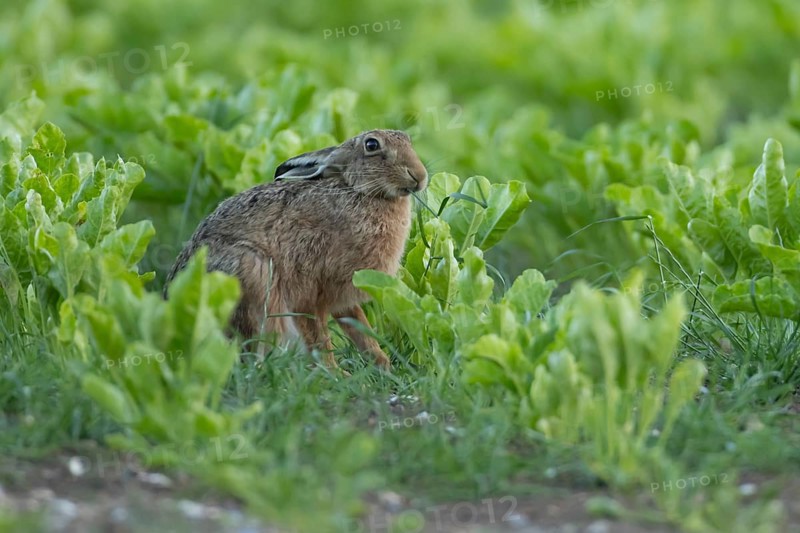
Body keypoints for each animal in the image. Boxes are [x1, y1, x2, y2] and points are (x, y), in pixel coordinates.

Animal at [164, 129, 428, 371]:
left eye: (407, 139)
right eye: (372, 145)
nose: (420, 176)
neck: (360, 192)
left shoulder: (344, 297)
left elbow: (363, 332)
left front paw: (384, 367)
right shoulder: (309, 292)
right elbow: (319, 339)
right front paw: (338, 374)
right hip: (251, 275)